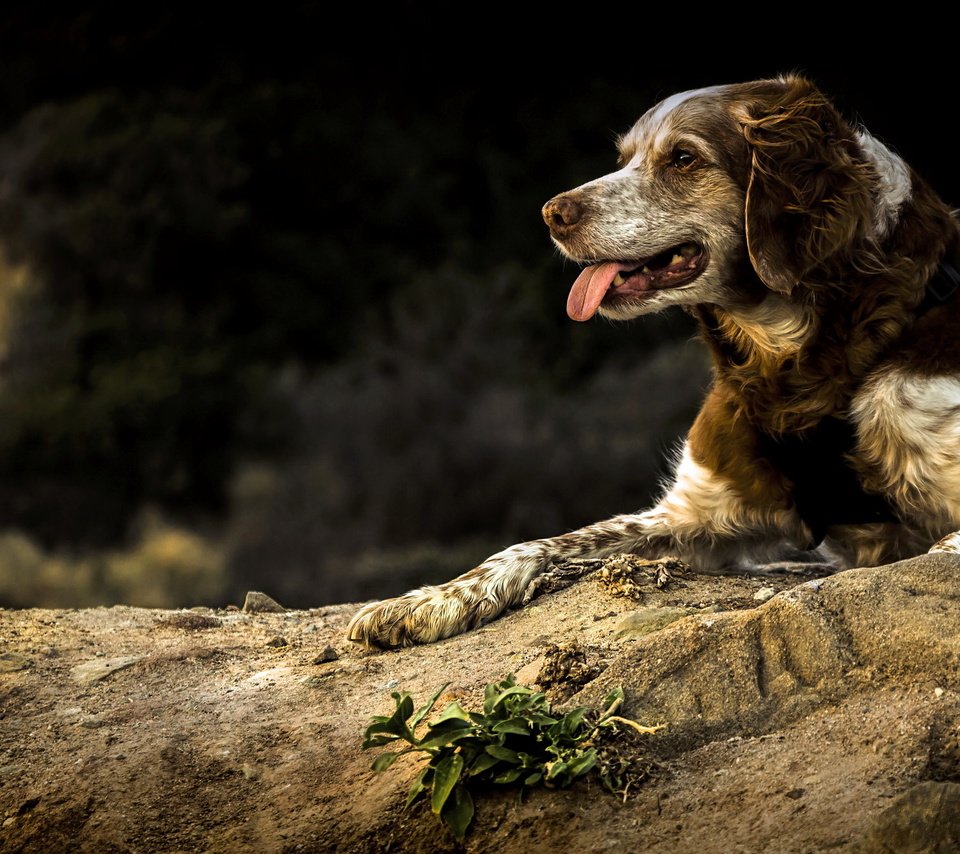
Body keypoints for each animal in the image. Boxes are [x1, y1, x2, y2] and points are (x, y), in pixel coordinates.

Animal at [346, 75, 960, 648]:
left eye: (683, 158)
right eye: (624, 159)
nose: (552, 213)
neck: (791, 358)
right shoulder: (696, 514)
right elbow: (546, 541)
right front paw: (429, 598)